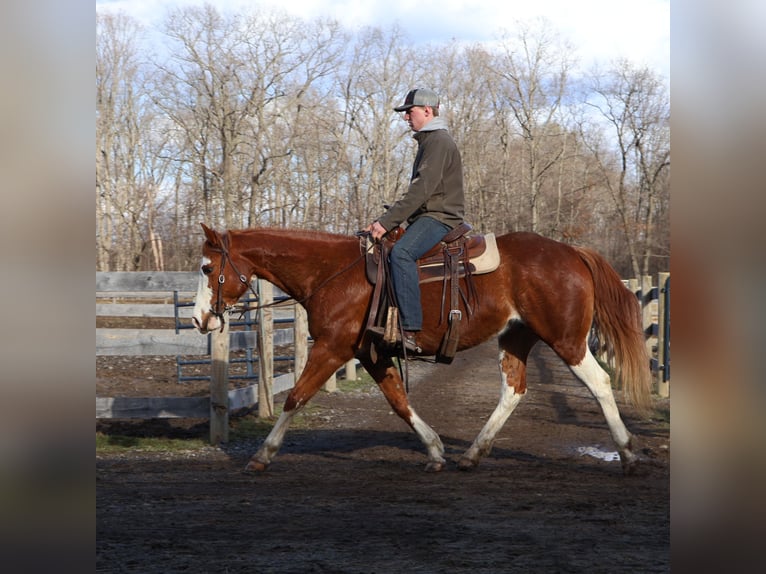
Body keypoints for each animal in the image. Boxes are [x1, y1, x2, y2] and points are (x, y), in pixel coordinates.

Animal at [192, 223, 652, 474]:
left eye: (206, 267)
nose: (199, 319)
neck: (333, 274)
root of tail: (572, 251)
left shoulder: (332, 349)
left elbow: (297, 397)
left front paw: (262, 455)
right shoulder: (371, 354)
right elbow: (399, 401)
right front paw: (434, 450)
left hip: (567, 340)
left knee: (599, 383)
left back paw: (629, 456)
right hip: (516, 338)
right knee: (513, 391)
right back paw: (472, 455)